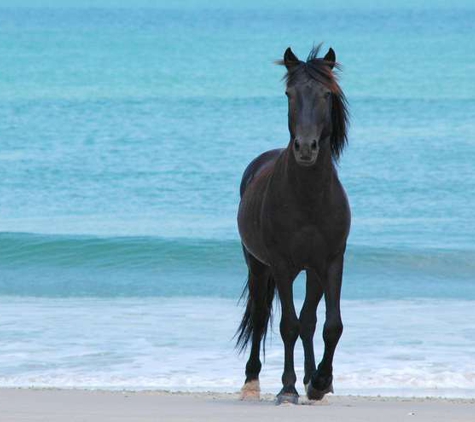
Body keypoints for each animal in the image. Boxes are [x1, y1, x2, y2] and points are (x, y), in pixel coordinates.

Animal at [237, 44, 352, 404]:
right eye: (289, 94)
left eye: (326, 94)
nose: (305, 148)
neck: (309, 200)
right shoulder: (281, 265)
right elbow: (287, 325)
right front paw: (286, 389)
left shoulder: (331, 262)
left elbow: (331, 325)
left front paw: (320, 382)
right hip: (258, 266)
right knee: (261, 316)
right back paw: (251, 382)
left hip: (312, 272)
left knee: (309, 321)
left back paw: (313, 379)